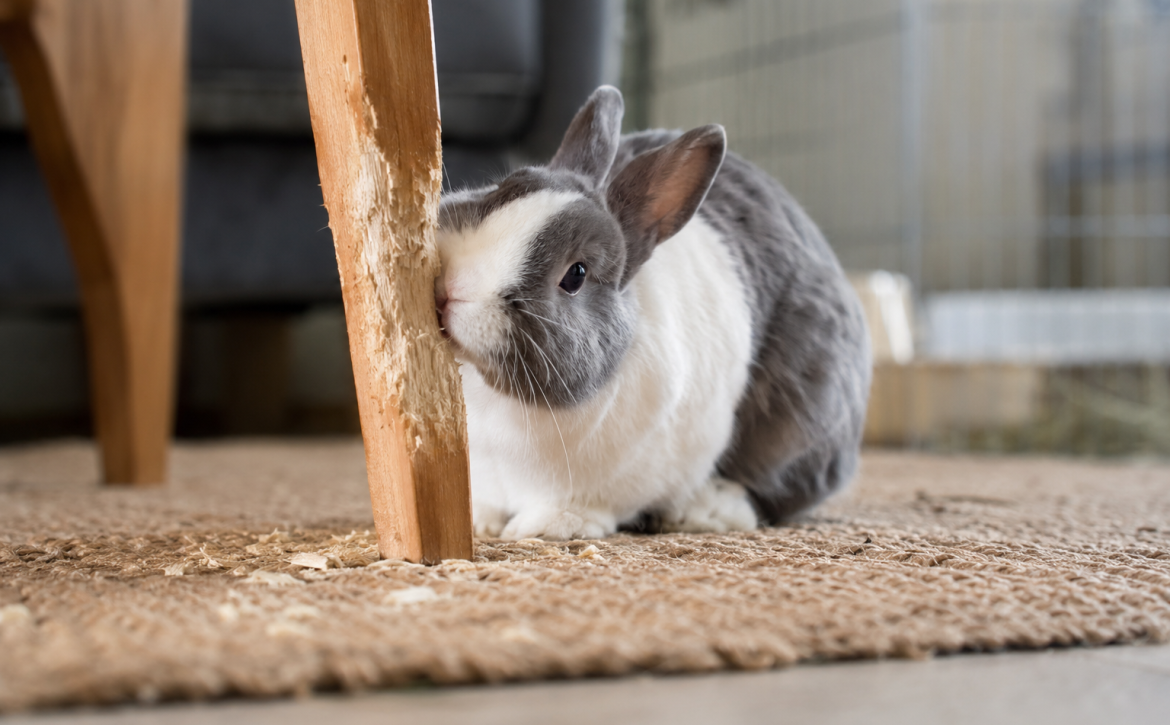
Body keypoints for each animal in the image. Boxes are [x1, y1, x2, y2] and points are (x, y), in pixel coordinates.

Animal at [435, 85, 871, 541]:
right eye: (503, 187)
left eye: (576, 275)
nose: (455, 288)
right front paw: (480, 523)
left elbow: (578, 506)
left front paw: (550, 528)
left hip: (800, 422)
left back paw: (704, 512)